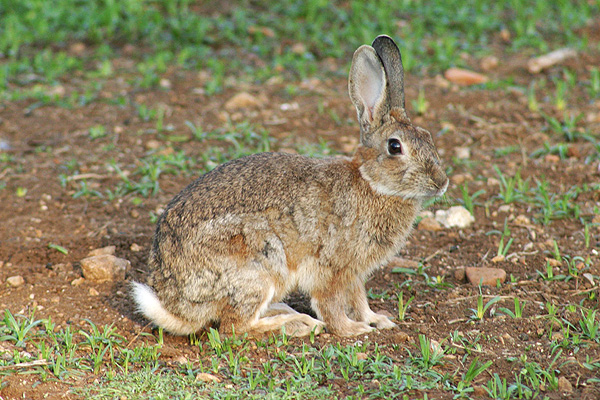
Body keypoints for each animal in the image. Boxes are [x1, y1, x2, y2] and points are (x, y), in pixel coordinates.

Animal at [132, 36, 450, 338]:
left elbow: (359, 299)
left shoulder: (354, 273)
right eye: (395, 147)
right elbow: (331, 303)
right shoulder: (332, 267)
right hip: (260, 265)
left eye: (428, 136)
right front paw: (352, 330)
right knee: (234, 328)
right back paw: (297, 325)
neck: (371, 183)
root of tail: (175, 303)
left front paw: (377, 320)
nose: (441, 182)